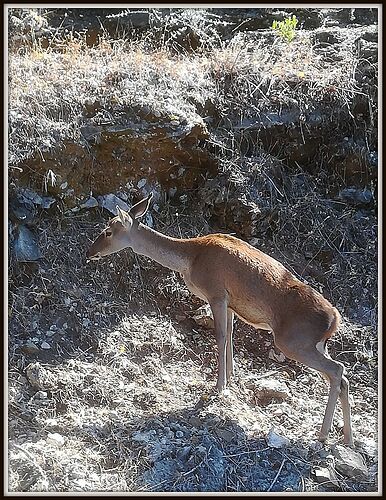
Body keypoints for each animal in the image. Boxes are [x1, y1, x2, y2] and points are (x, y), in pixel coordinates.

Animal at [86, 192, 352, 446]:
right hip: (317, 344)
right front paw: (232, 377)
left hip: (293, 341)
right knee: (342, 377)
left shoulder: (216, 292)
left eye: (108, 231)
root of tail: (334, 320)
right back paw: (348, 438)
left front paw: (219, 385)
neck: (190, 260)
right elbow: (231, 335)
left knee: (337, 369)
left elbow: (221, 336)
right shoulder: (232, 303)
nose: (90, 253)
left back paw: (323, 434)